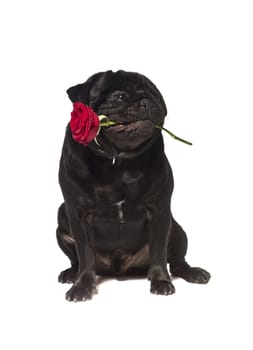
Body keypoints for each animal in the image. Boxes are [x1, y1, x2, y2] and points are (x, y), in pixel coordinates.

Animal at [56, 69, 211, 300]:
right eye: (119, 96)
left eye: (155, 96)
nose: (146, 102)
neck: (118, 160)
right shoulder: (78, 214)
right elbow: (85, 255)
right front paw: (82, 286)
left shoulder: (159, 211)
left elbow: (158, 251)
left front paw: (161, 281)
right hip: (61, 219)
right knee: (76, 260)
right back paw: (70, 274)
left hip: (176, 230)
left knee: (177, 262)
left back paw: (193, 273)